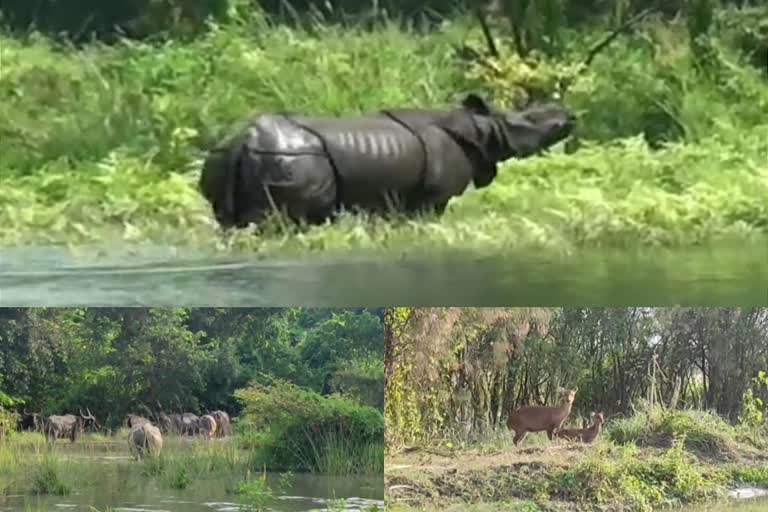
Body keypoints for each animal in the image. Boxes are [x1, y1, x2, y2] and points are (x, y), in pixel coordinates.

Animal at [201, 92, 572, 228]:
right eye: (526, 123)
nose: (568, 117)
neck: (480, 129)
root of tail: (243, 140)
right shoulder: (433, 196)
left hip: (223, 156)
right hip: (290, 157)